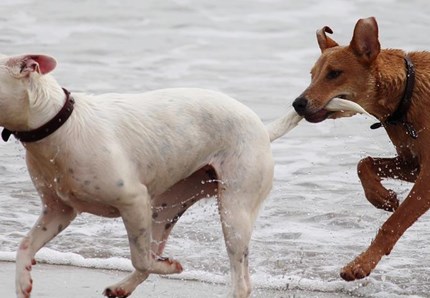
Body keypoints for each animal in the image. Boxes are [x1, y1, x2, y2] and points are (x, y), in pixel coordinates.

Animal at [0, 53, 366, 298]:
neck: (58, 123)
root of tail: (263, 129)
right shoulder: (58, 211)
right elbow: (24, 246)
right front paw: (22, 282)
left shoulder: (133, 200)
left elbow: (141, 258)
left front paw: (169, 267)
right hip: (165, 208)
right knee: (154, 249)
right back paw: (121, 288)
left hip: (233, 211)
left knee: (239, 280)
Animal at [290, 16, 428, 282]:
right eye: (312, 75)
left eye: (334, 73)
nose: (297, 104)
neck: (405, 94)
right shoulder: (412, 163)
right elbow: (364, 163)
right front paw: (382, 197)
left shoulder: (428, 177)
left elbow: (394, 223)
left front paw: (361, 264)